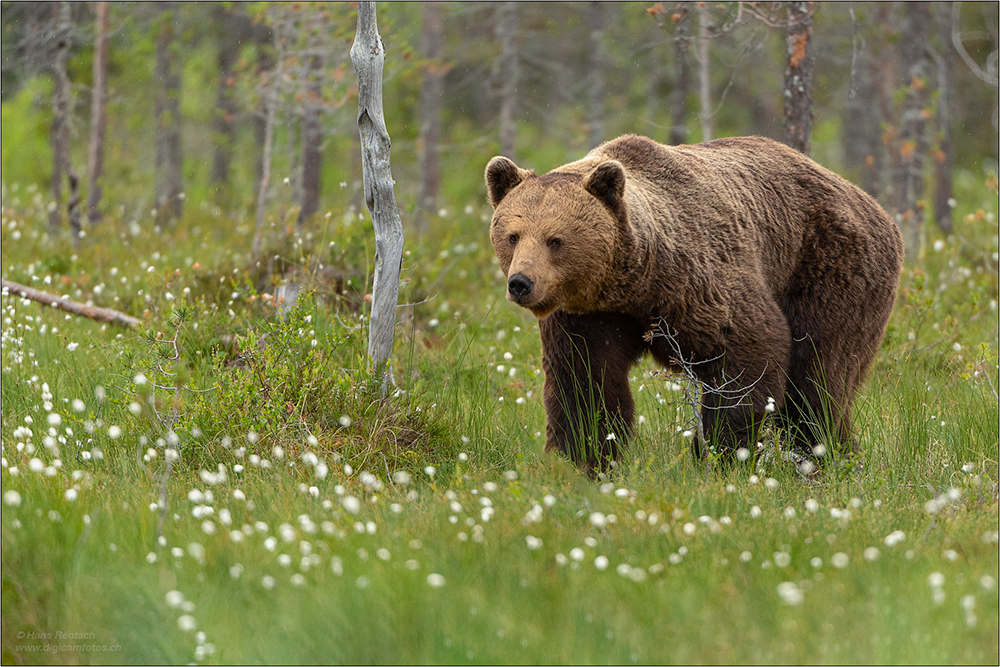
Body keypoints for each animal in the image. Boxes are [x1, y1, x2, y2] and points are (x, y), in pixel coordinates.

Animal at [484, 133, 908, 472]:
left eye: (555, 240)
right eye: (512, 235)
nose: (521, 283)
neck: (634, 282)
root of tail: (876, 207)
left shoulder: (699, 281)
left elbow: (748, 352)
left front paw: (723, 452)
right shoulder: (588, 316)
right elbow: (585, 381)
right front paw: (582, 459)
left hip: (832, 268)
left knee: (818, 378)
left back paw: (826, 455)